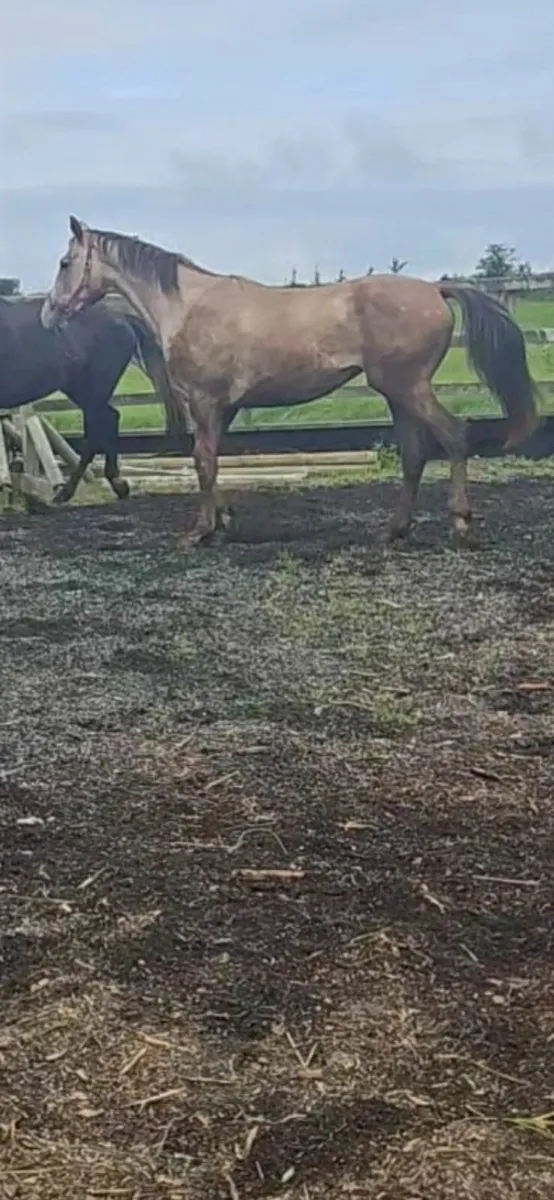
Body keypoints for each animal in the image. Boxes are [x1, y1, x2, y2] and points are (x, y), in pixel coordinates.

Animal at [0, 291, 177, 503]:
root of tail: (121, 318)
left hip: (93, 391)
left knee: (98, 428)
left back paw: (69, 492)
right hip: (82, 391)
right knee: (109, 419)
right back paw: (117, 484)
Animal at [41, 216, 539, 544]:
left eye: (65, 262)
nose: (49, 313)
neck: (187, 307)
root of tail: (434, 289)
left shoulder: (205, 403)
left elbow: (203, 462)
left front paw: (202, 531)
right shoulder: (224, 409)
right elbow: (213, 461)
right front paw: (223, 521)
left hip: (408, 389)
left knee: (454, 437)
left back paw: (461, 522)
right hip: (397, 395)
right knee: (415, 455)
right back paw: (394, 529)